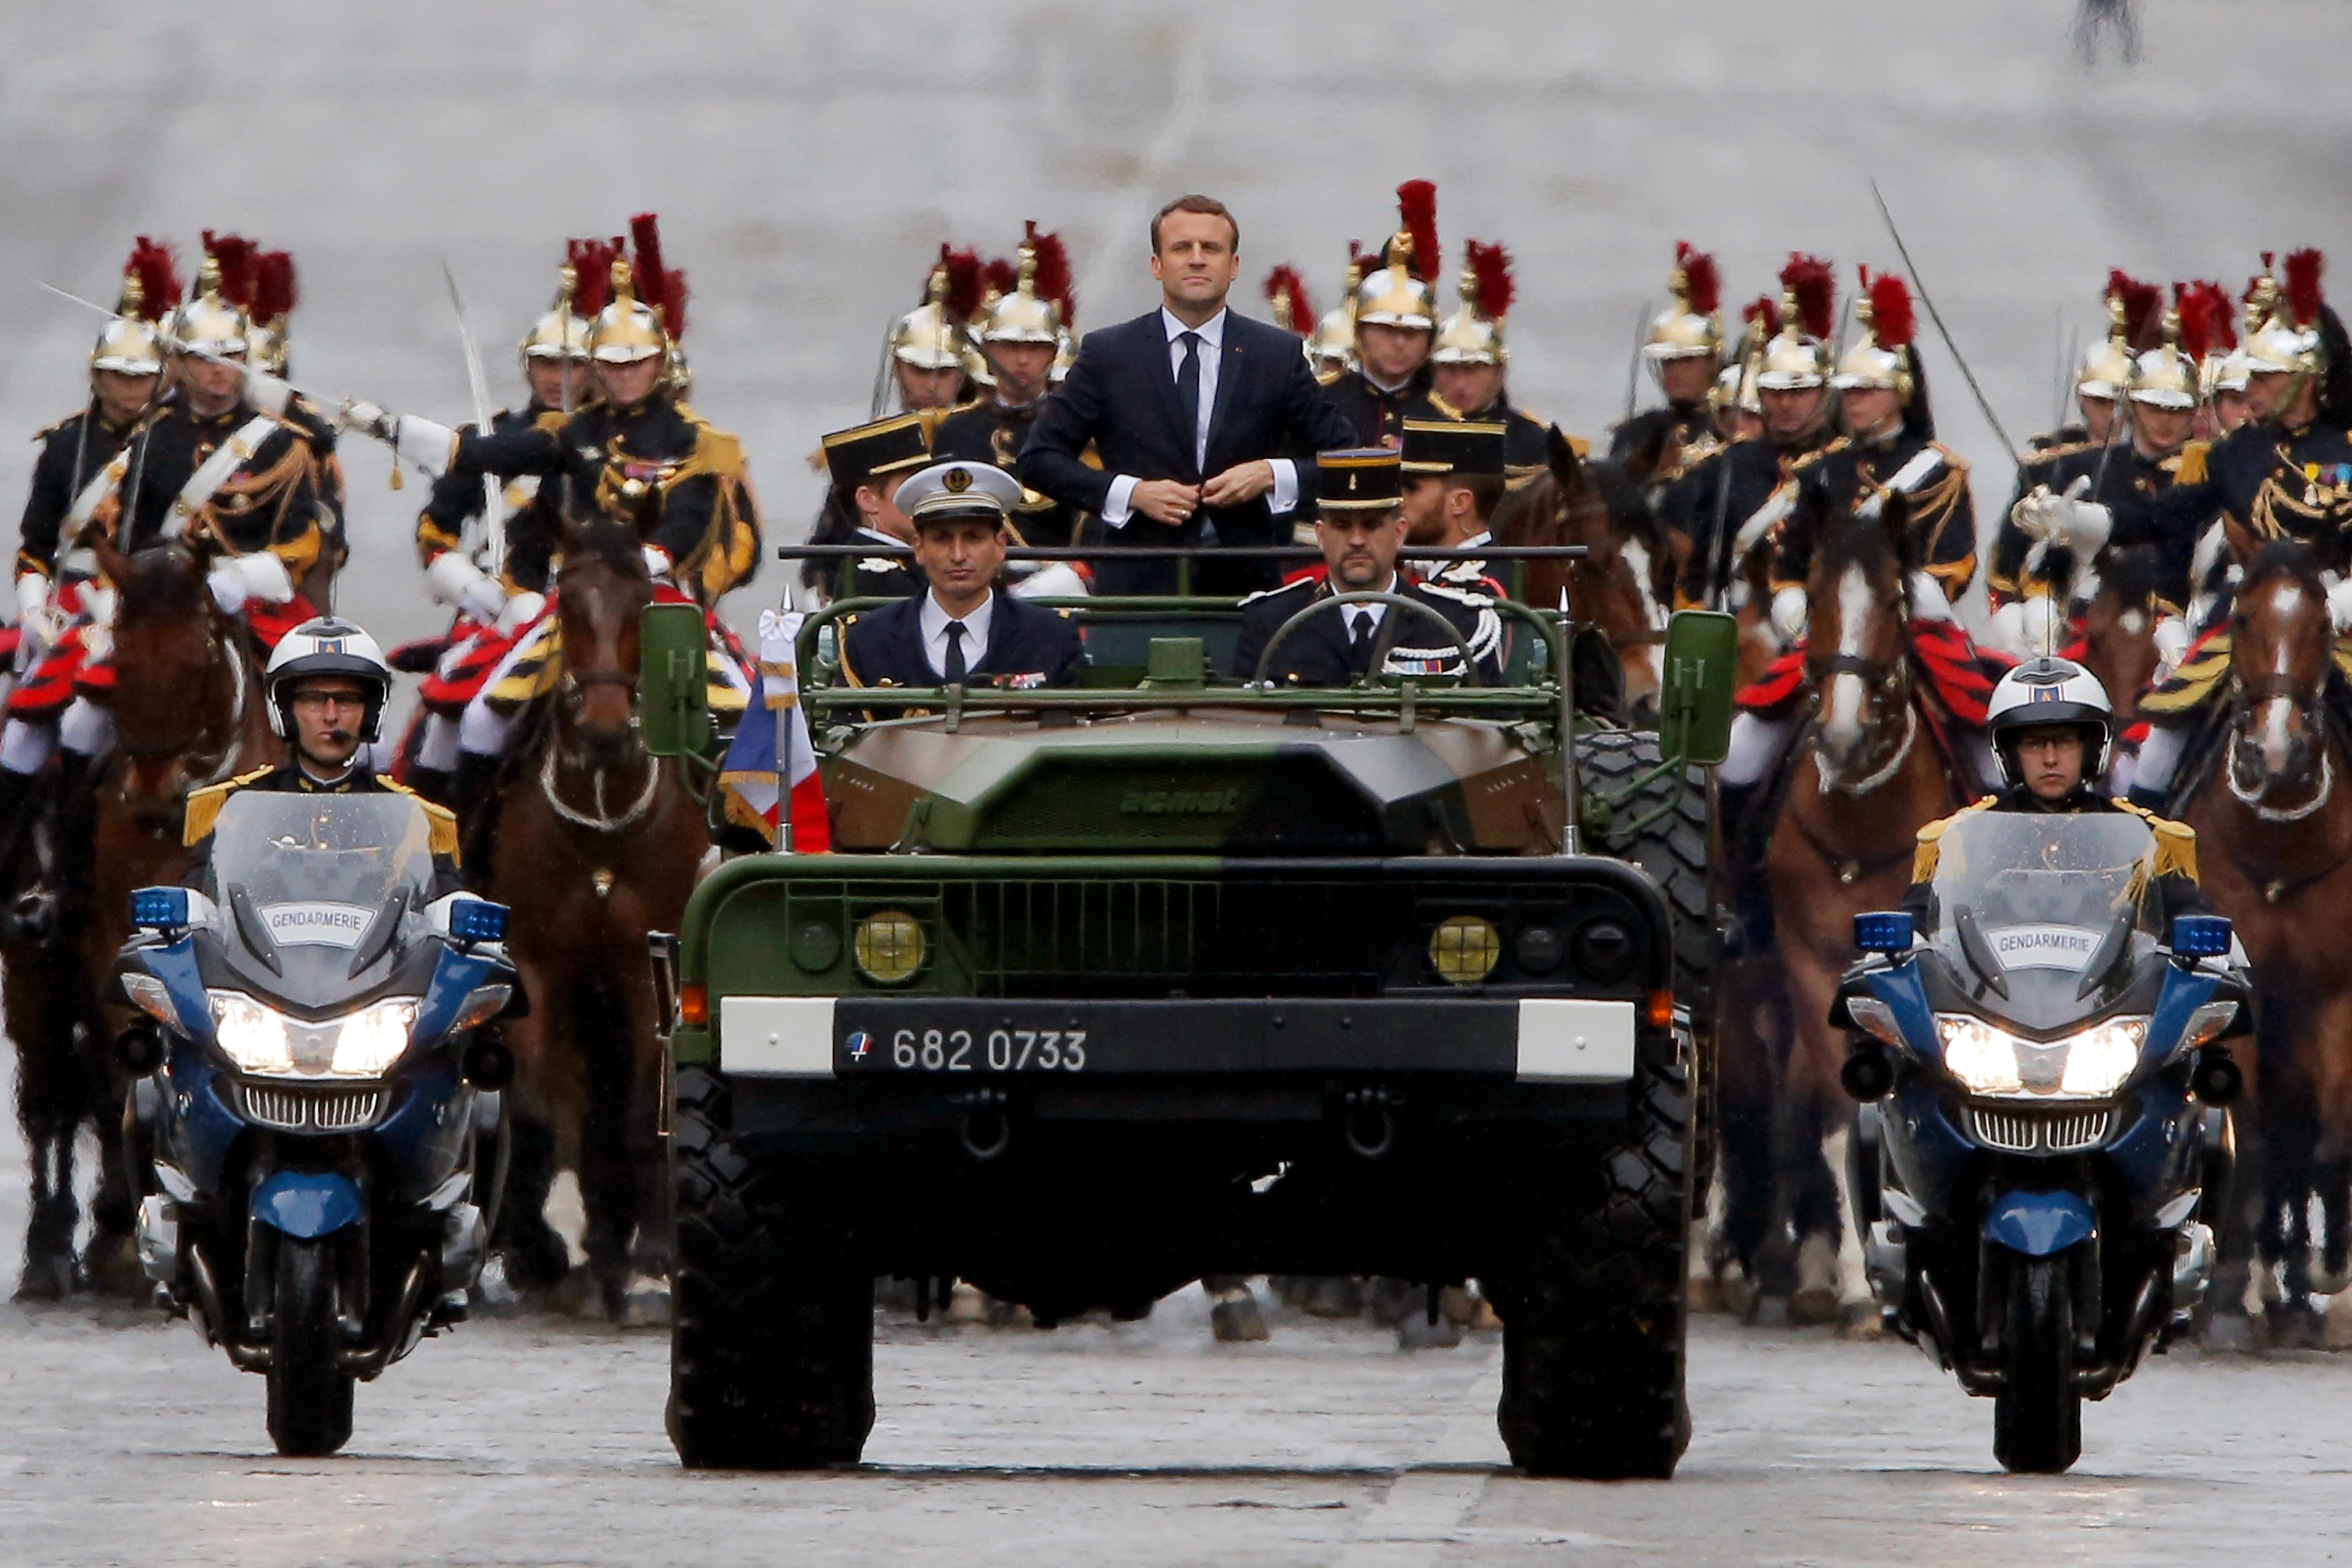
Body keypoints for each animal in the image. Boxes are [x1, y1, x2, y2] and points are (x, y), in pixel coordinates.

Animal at [1, 540, 273, 1297]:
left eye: (196, 660)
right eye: (119, 660)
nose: (152, 799)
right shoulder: (110, 952)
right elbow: (125, 1078)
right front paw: (126, 1232)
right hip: (32, 975)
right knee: (49, 1100)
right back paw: (51, 1246)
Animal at [472, 517, 701, 1325]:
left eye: (642, 603)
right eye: (567, 604)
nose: (605, 730)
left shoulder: (641, 967)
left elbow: (640, 1108)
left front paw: (650, 1252)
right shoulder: (536, 965)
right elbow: (539, 1110)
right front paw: (550, 1249)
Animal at [1712, 491, 1966, 1325]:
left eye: (1890, 601)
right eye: (1818, 599)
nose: (1844, 732)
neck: (1860, 820)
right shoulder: (1807, 963)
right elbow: (1832, 1104)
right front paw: (1857, 1278)